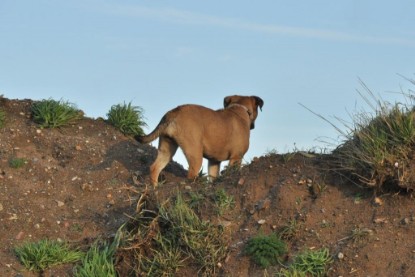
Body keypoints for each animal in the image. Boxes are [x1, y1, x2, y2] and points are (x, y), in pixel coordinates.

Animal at [136, 94, 266, 185]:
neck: (240, 109)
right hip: (195, 154)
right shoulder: (236, 158)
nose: (253, 126)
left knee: (154, 168)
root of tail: (174, 112)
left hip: (167, 148)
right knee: (191, 174)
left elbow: (213, 177)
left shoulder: (214, 162)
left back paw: (155, 188)